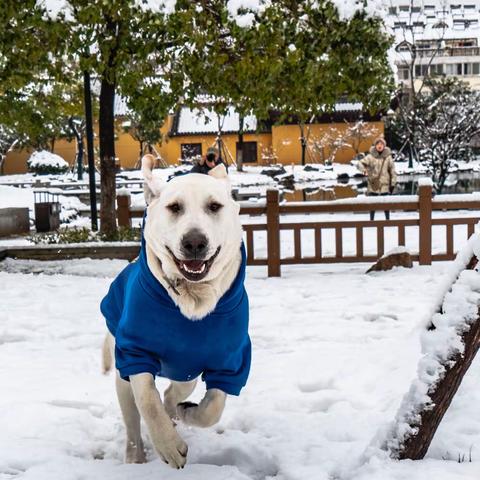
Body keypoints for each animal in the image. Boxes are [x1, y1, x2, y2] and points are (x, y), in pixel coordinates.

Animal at [101, 157, 251, 468]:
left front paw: (187, 412)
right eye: (174, 207)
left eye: (214, 206)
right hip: (123, 376)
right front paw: (169, 446)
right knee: (133, 417)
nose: (194, 242)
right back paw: (135, 456)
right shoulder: (134, 351)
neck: (193, 297)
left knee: (174, 392)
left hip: (187, 369)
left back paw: (175, 410)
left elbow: (213, 406)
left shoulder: (232, 359)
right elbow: (147, 400)